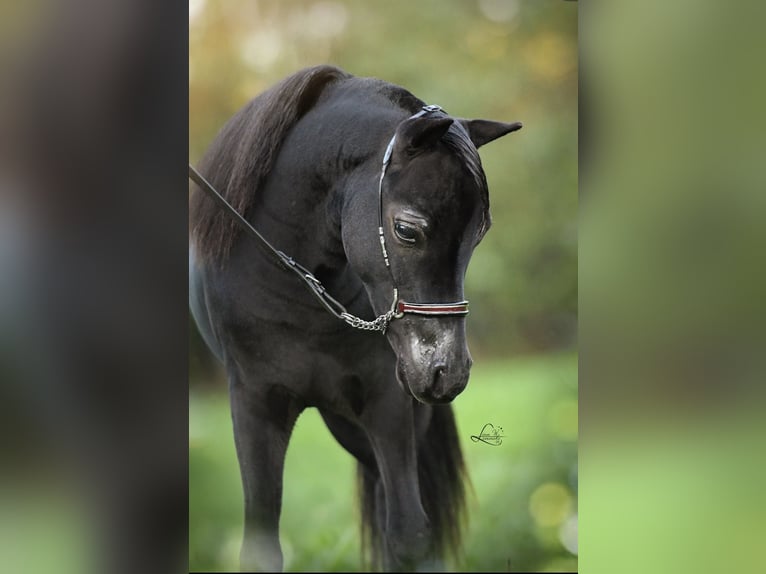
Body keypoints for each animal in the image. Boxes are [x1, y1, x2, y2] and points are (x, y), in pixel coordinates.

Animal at [189, 65, 522, 572]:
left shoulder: (387, 402)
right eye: (407, 230)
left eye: (479, 233)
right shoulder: (254, 405)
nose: (449, 371)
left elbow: (409, 533)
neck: (298, 292)